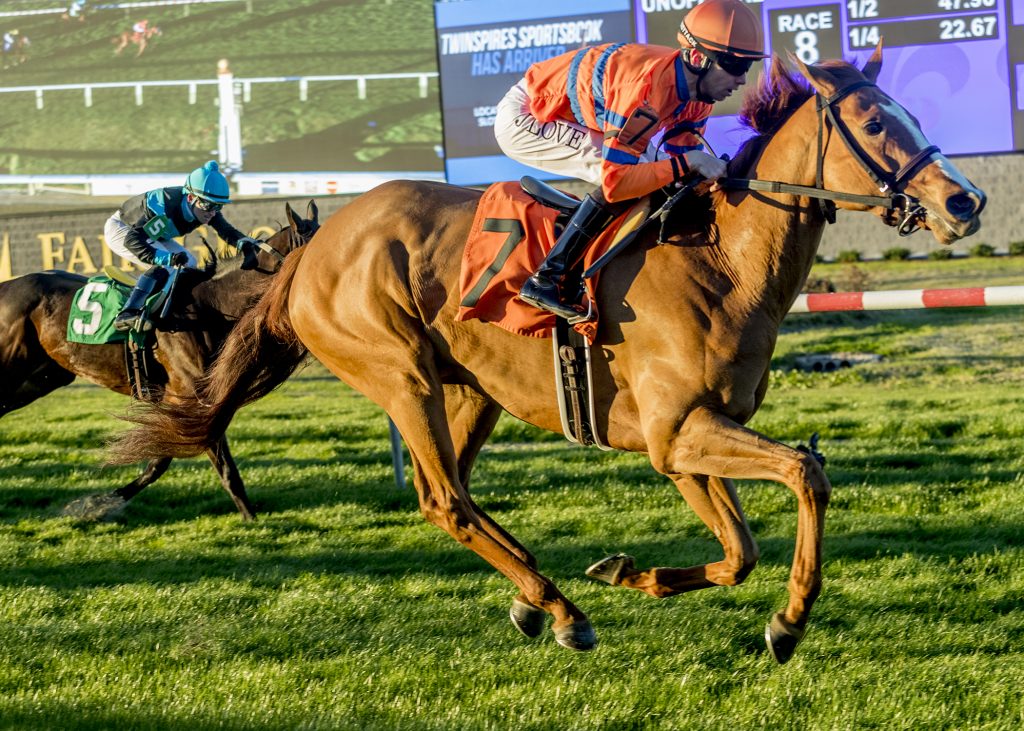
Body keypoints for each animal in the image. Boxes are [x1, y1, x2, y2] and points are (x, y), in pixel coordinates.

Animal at [0, 199, 317, 518]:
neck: (210, 306)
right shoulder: (187, 398)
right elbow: (183, 460)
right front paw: (100, 504)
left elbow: (166, 459)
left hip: (40, 379)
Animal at [110, 48, 983, 659]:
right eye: (878, 124)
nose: (965, 200)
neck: (724, 263)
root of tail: (312, 251)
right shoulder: (680, 430)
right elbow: (806, 472)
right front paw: (789, 623)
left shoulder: (681, 441)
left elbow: (739, 550)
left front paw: (637, 572)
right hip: (401, 373)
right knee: (445, 499)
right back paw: (562, 609)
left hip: (470, 390)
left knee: (452, 493)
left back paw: (538, 597)